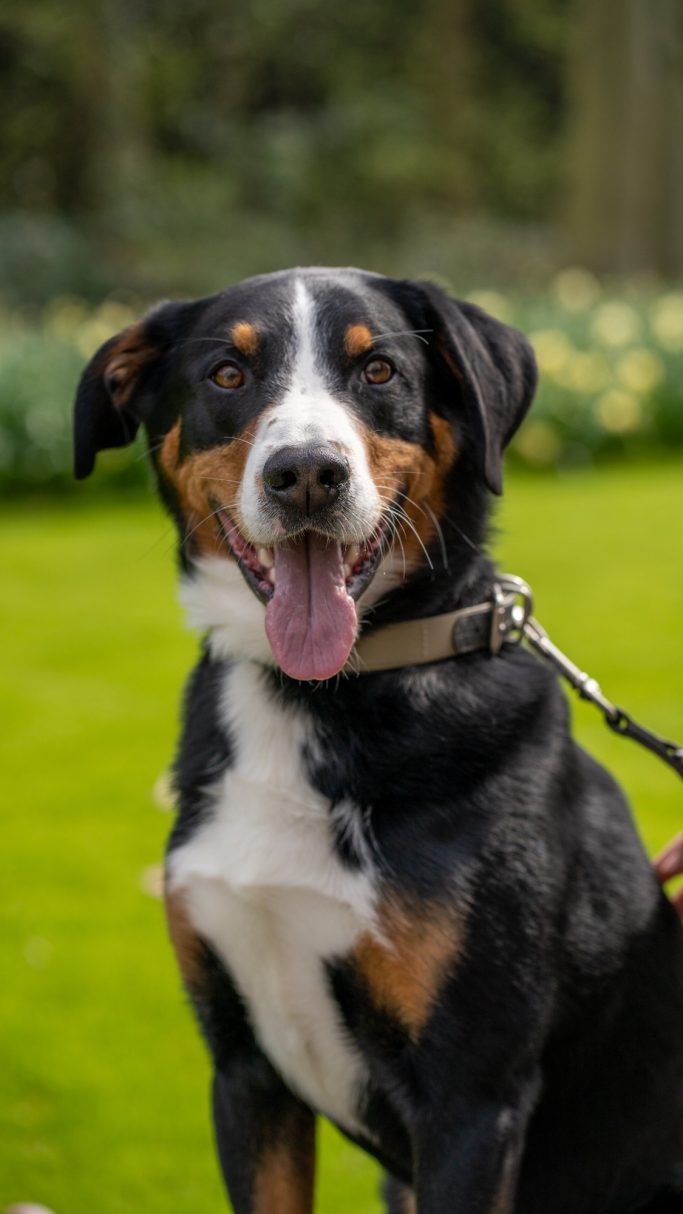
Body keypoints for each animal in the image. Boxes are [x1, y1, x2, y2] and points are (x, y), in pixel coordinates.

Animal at [74, 268, 683, 1214]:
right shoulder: (245, 1073)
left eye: (379, 370)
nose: (305, 474)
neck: (310, 697)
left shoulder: (471, 1099)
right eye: (226, 374)